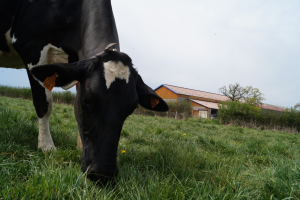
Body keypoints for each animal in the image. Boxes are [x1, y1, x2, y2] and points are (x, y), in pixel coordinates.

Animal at [0, 0, 169, 182]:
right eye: (86, 101)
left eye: (131, 109)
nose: (104, 173)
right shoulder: (32, 47)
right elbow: (43, 104)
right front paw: (46, 147)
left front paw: (78, 146)